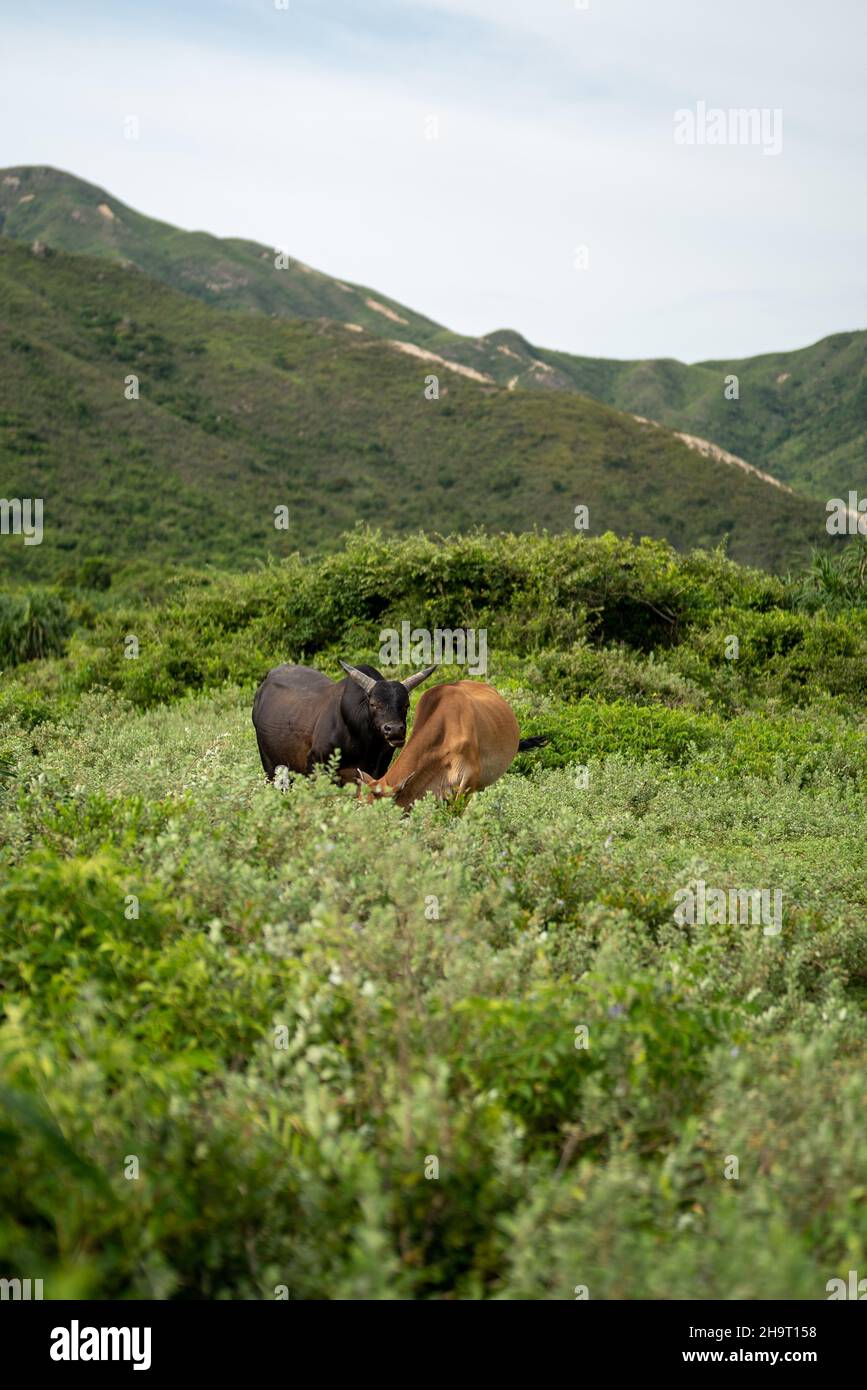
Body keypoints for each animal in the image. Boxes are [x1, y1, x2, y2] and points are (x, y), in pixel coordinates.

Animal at [252, 659, 437, 782]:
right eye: (373, 704)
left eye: (406, 705)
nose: (395, 730)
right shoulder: (315, 763)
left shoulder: (379, 768)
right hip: (270, 765)